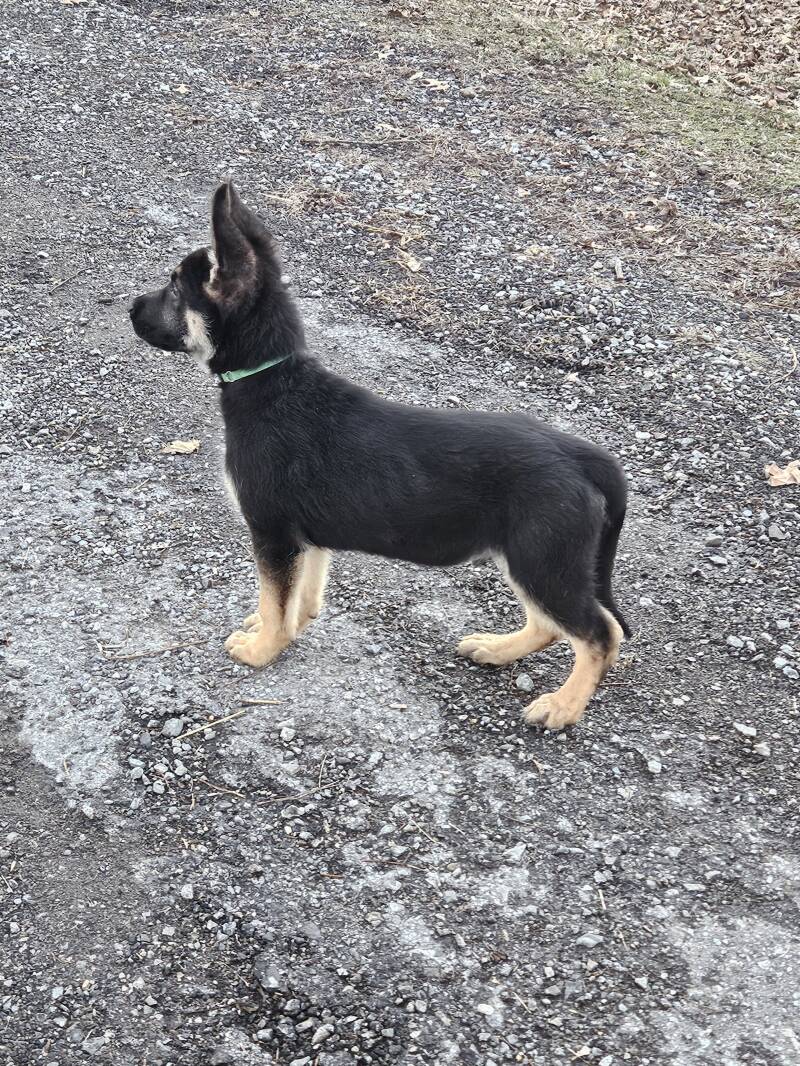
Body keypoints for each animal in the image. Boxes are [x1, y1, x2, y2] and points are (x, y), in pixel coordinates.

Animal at [130, 182, 631, 730]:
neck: (271, 375)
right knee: (552, 624)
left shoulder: (273, 532)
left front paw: (263, 648)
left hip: (542, 559)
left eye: (175, 289)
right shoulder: (303, 539)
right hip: (531, 558)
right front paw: (283, 627)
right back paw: (498, 649)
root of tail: (583, 456)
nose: (130, 308)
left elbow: (275, 595)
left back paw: (562, 705)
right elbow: (299, 594)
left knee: (600, 633)